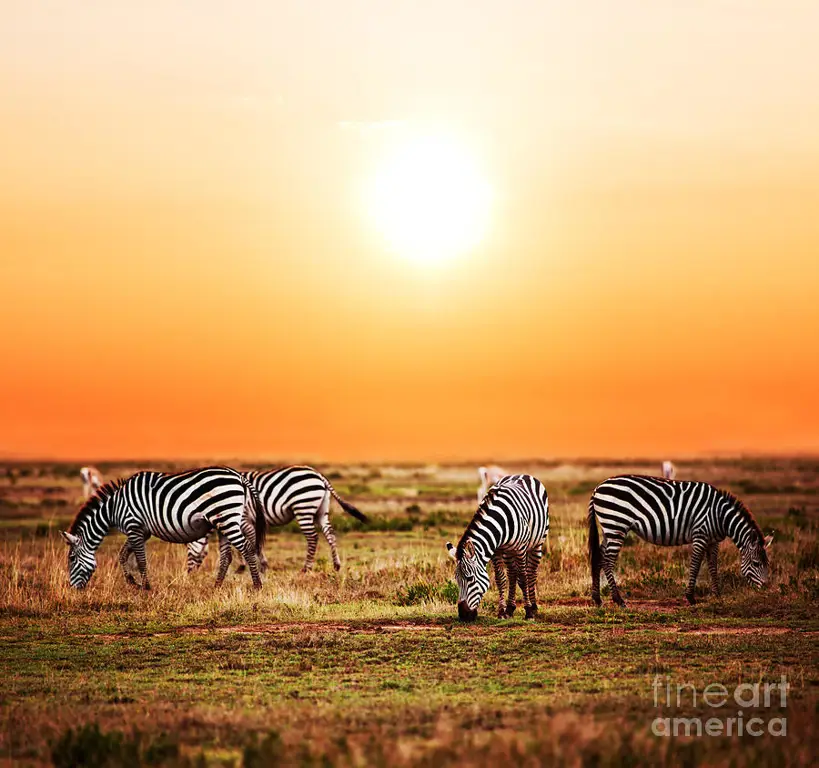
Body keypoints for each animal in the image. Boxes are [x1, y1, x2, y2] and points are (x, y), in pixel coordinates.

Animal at [60, 468, 266, 588]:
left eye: (71, 558)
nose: (73, 589)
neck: (114, 508)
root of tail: (238, 475)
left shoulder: (134, 526)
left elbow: (140, 560)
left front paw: (146, 587)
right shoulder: (141, 531)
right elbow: (123, 555)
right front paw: (132, 583)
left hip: (226, 516)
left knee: (247, 548)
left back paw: (257, 586)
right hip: (223, 521)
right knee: (226, 556)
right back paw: (216, 586)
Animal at [186, 464, 368, 572]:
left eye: (187, 546)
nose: (188, 573)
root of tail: (318, 475)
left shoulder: (243, 519)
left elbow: (249, 542)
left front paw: (255, 566)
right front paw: (248, 566)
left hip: (303, 506)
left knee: (312, 537)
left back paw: (306, 568)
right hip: (321, 510)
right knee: (330, 534)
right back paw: (336, 565)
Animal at [446, 474, 548, 624]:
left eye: (470, 579)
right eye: (457, 580)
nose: (463, 616)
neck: (501, 521)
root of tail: (522, 475)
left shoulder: (520, 548)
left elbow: (523, 579)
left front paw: (529, 612)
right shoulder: (497, 550)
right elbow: (501, 579)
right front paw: (501, 612)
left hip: (537, 543)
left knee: (531, 573)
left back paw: (533, 607)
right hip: (508, 551)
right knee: (512, 574)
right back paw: (510, 609)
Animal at [588, 474, 772, 608]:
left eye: (767, 564)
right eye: (756, 563)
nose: (767, 588)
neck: (720, 515)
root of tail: (598, 488)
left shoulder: (713, 541)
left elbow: (713, 566)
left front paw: (717, 595)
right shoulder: (700, 535)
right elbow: (695, 565)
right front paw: (691, 598)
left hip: (609, 528)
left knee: (599, 557)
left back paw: (597, 599)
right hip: (616, 525)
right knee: (608, 560)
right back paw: (618, 600)